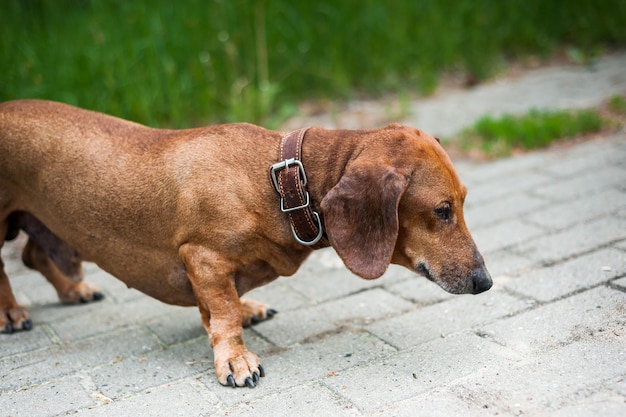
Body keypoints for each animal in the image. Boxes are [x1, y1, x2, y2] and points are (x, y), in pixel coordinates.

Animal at [0, 100, 490, 386]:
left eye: (465, 201)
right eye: (442, 210)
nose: (485, 282)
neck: (280, 180)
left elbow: (219, 307)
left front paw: (241, 316)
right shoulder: (201, 256)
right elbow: (224, 311)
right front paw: (235, 359)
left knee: (32, 253)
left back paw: (73, 290)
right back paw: (11, 313)